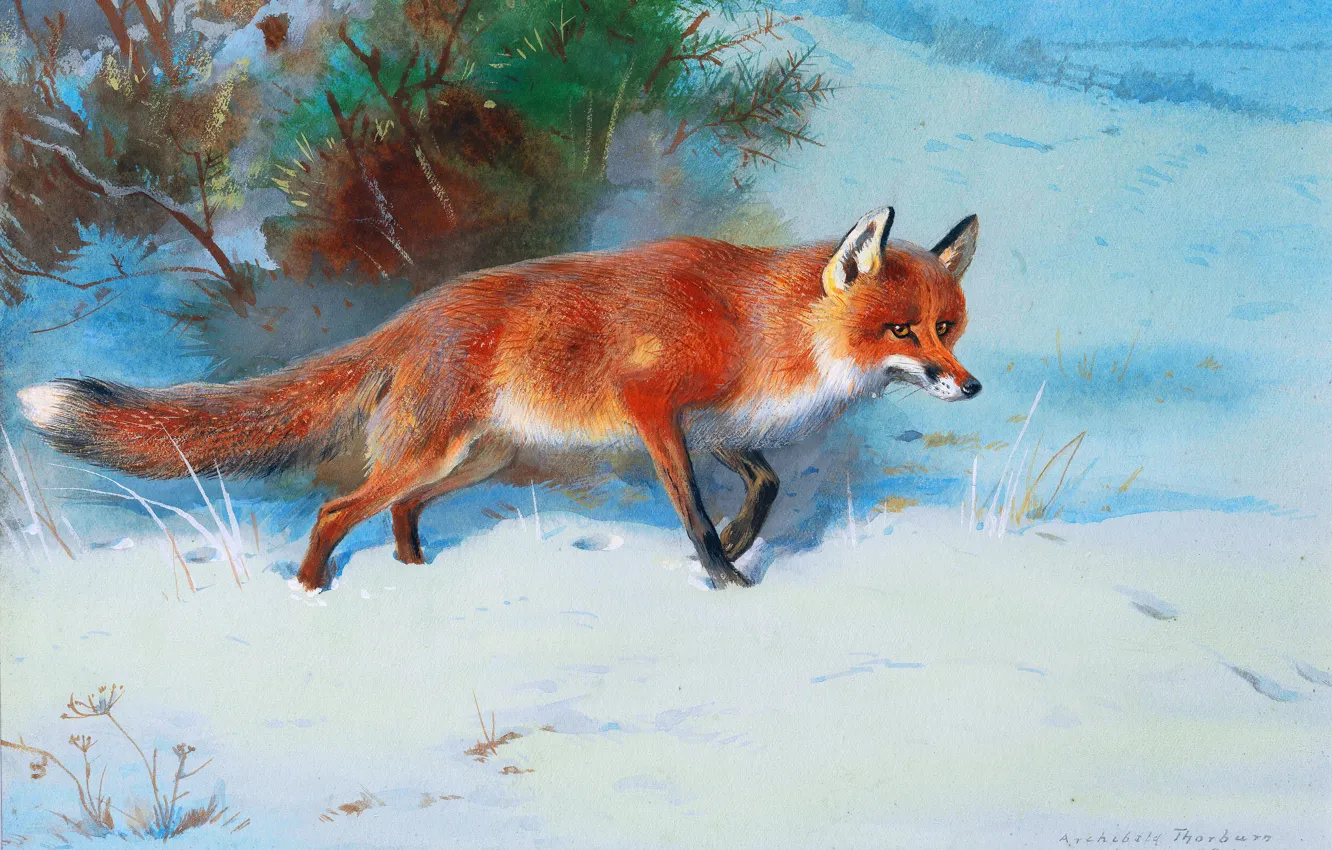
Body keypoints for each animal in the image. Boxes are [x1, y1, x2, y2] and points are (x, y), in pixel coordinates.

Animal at [17, 206, 981, 592]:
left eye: (948, 327)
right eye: (902, 331)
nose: (969, 385)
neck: (760, 329)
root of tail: (409, 317)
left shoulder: (712, 427)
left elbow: (768, 483)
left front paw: (747, 541)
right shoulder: (653, 407)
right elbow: (696, 515)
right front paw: (727, 576)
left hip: (478, 459)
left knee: (400, 511)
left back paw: (416, 579)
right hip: (436, 452)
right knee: (337, 509)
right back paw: (310, 595)